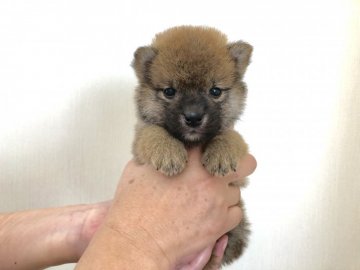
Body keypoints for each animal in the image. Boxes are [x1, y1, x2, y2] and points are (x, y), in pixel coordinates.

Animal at [131, 25, 252, 268]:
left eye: (215, 91)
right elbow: (153, 132)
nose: (193, 117)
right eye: (170, 91)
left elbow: (229, 135)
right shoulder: (140, 137)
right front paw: (168, 153)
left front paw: (222, 154)